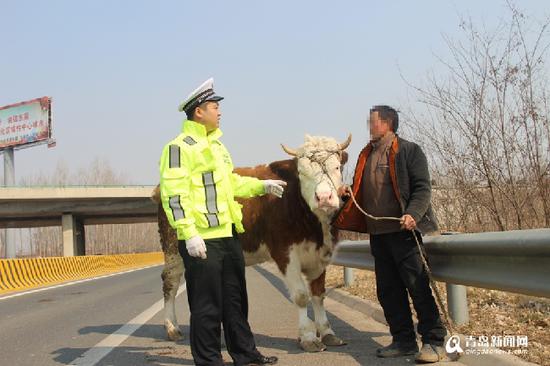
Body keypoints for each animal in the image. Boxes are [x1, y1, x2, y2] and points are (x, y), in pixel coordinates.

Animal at [154, 134, 354, 352]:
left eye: (337, 167)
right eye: (302, 172)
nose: (324, 197)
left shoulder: (320, 256)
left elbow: (318, 294)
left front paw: (327, 332)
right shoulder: (284, 252)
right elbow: (301, 296)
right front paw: (308, 337)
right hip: (174, 249)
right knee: (170, 282)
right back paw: (172, 328)